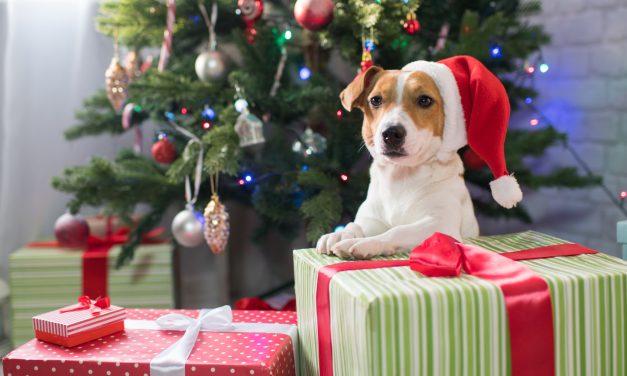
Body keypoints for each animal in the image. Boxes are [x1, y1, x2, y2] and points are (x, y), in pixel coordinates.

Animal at [318, 57, 524, 260]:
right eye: (375, 100)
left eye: (424, 100)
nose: (391, 133)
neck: (400, 178)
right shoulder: (371, 219)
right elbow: (355, 225)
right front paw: (340, 234)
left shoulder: (440, 224)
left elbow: (397, 231)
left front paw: (365, 243)